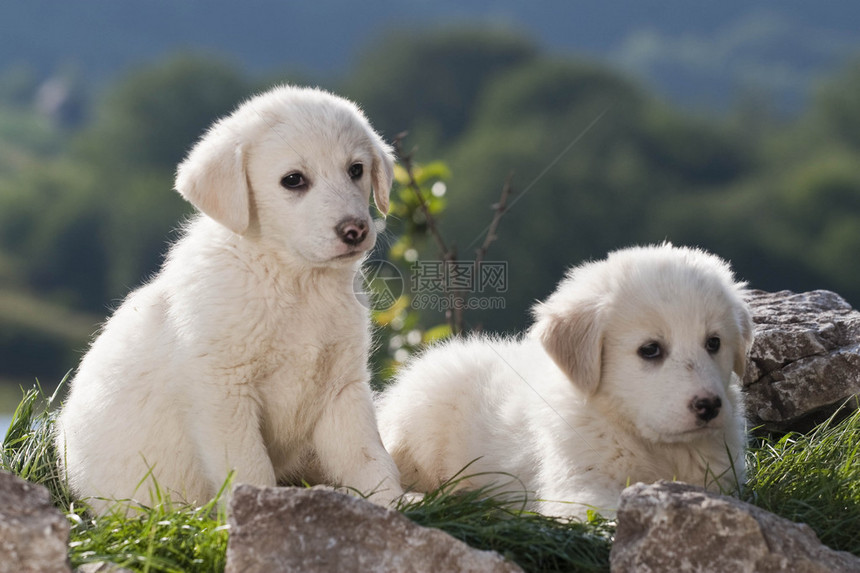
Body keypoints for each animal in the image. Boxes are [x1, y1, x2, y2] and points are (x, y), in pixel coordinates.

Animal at [56, 85, 404, 512]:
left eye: (356, 170)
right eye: (293, 180)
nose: (355, 230)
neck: (295, 282)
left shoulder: (343, 387)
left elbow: (369, 458)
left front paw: (400, 506)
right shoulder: (224, 394)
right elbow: (250, 468)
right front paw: (260, 509)